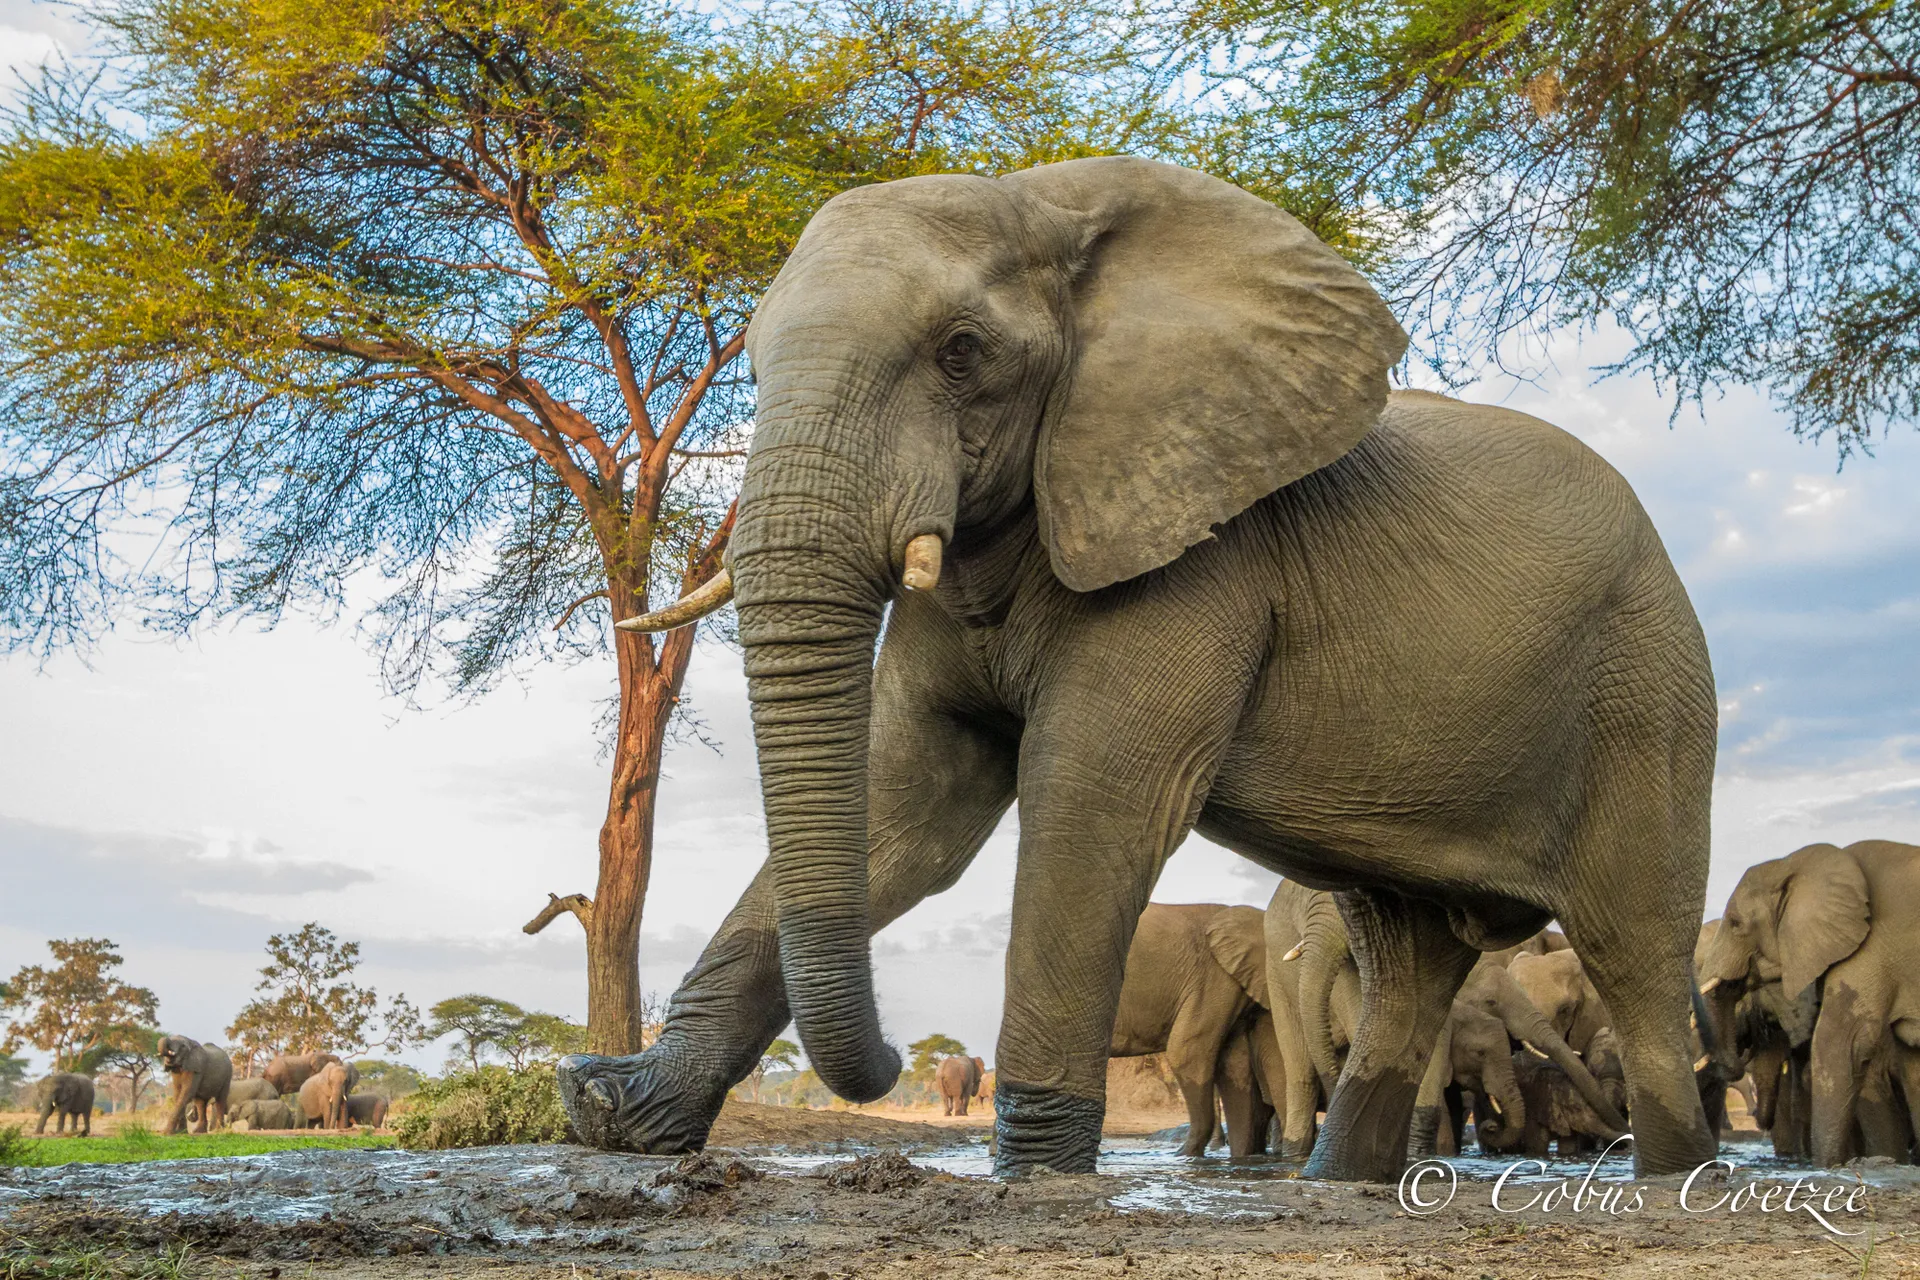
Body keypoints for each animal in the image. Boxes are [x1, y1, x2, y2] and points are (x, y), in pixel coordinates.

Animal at [562, 154, 1721, 1182]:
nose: (897, 1059)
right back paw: (1342, 1179)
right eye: (752, 367)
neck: (1047, 205)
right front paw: (619, 1114)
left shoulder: (1202, 553)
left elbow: (1091, 804)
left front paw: (1036, 1171)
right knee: (1406, 962)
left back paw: (1676, 1176)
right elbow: (909, 816)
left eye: (961, 352)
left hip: (1648, 688)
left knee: (1634, 953)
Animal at [1698, 840, 1920, 1166]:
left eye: (1736, 924)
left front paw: (1828, 1167)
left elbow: (1840, 1042)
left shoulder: (1870, 949)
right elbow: (1911, 1061)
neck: (1794, 863)